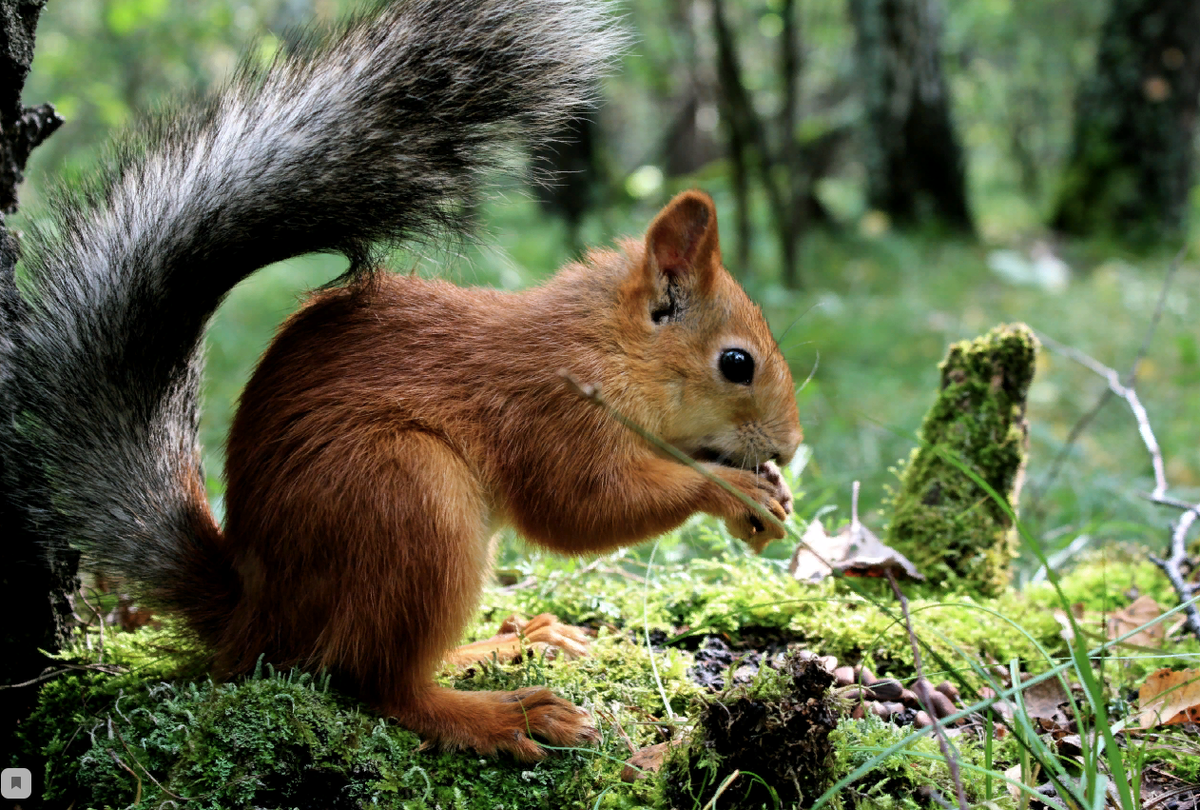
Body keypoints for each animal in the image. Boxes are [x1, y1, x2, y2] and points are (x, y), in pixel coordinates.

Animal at [7, 0, 806, 763]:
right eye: (737, 364)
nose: (791, 447)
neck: (603, 348)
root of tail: (255, 612)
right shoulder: (551, 411)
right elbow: (580, 509)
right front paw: (732, 490)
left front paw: (769, 493)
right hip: (408, 496)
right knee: (378, 683)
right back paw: (498, 714)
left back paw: (513, 643)